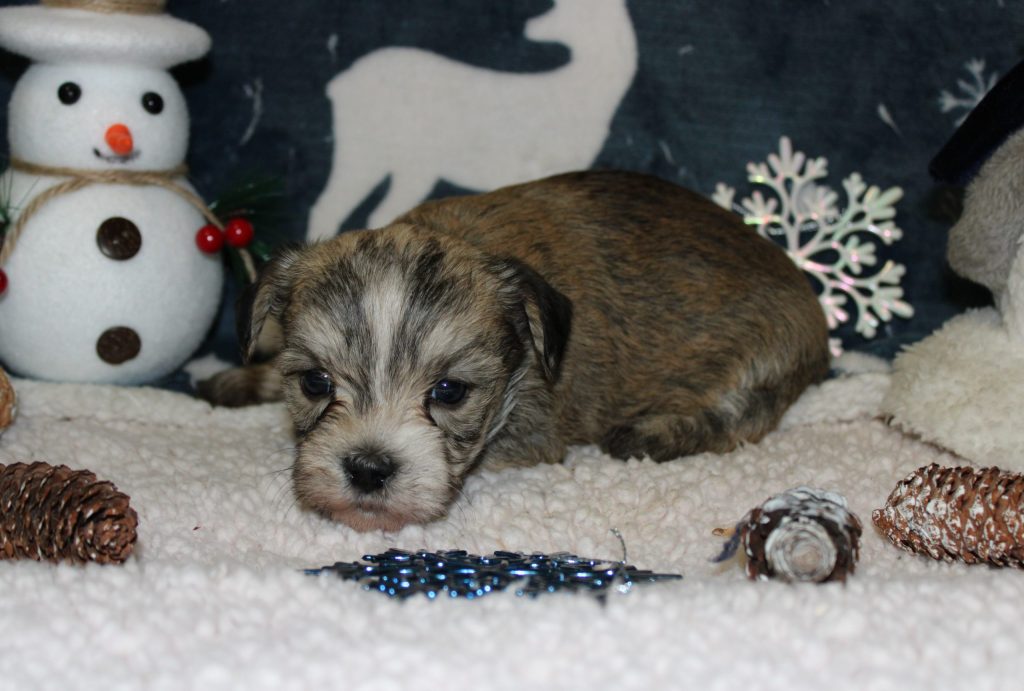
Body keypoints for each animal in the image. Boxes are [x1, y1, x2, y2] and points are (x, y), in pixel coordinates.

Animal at [199, 171, 830, 532]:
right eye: (315, 383)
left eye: (449, 392)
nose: (369, 469)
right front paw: (242, 379)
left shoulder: (533, 432)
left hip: (765, 359)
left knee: (740, 417)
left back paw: (652, 432)